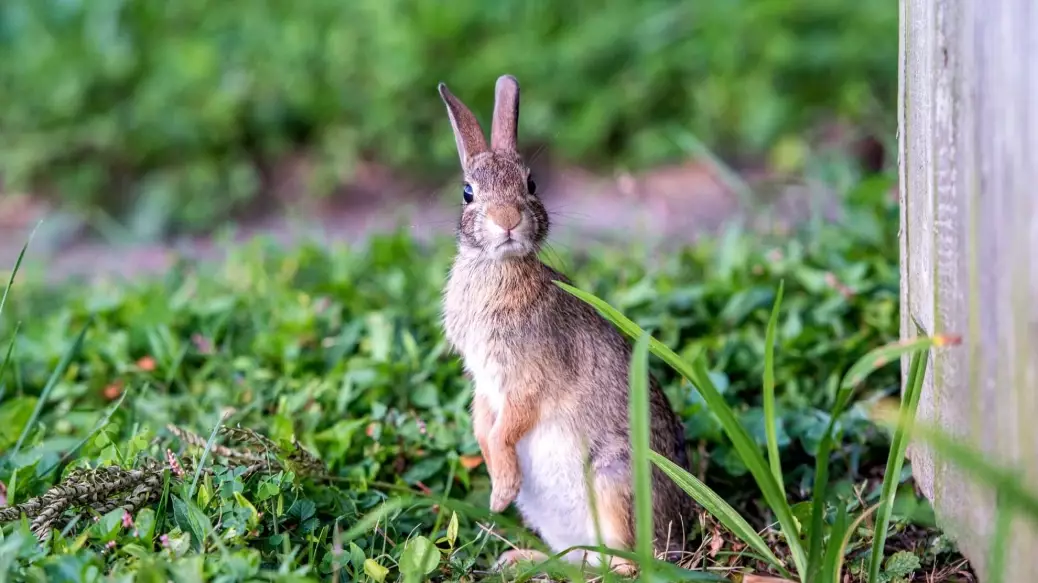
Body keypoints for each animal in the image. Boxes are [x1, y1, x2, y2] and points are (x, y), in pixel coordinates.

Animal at [437, 75, 696, 575]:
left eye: (531, 183)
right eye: (467, 192)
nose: (507, 220)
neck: (498, 268)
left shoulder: (529, 376)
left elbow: (509, 425)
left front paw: (500, 491)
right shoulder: (484, 379)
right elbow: (483, 422)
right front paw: (498, 482)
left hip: (613, 478)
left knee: (626, 565)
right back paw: (522, 559)